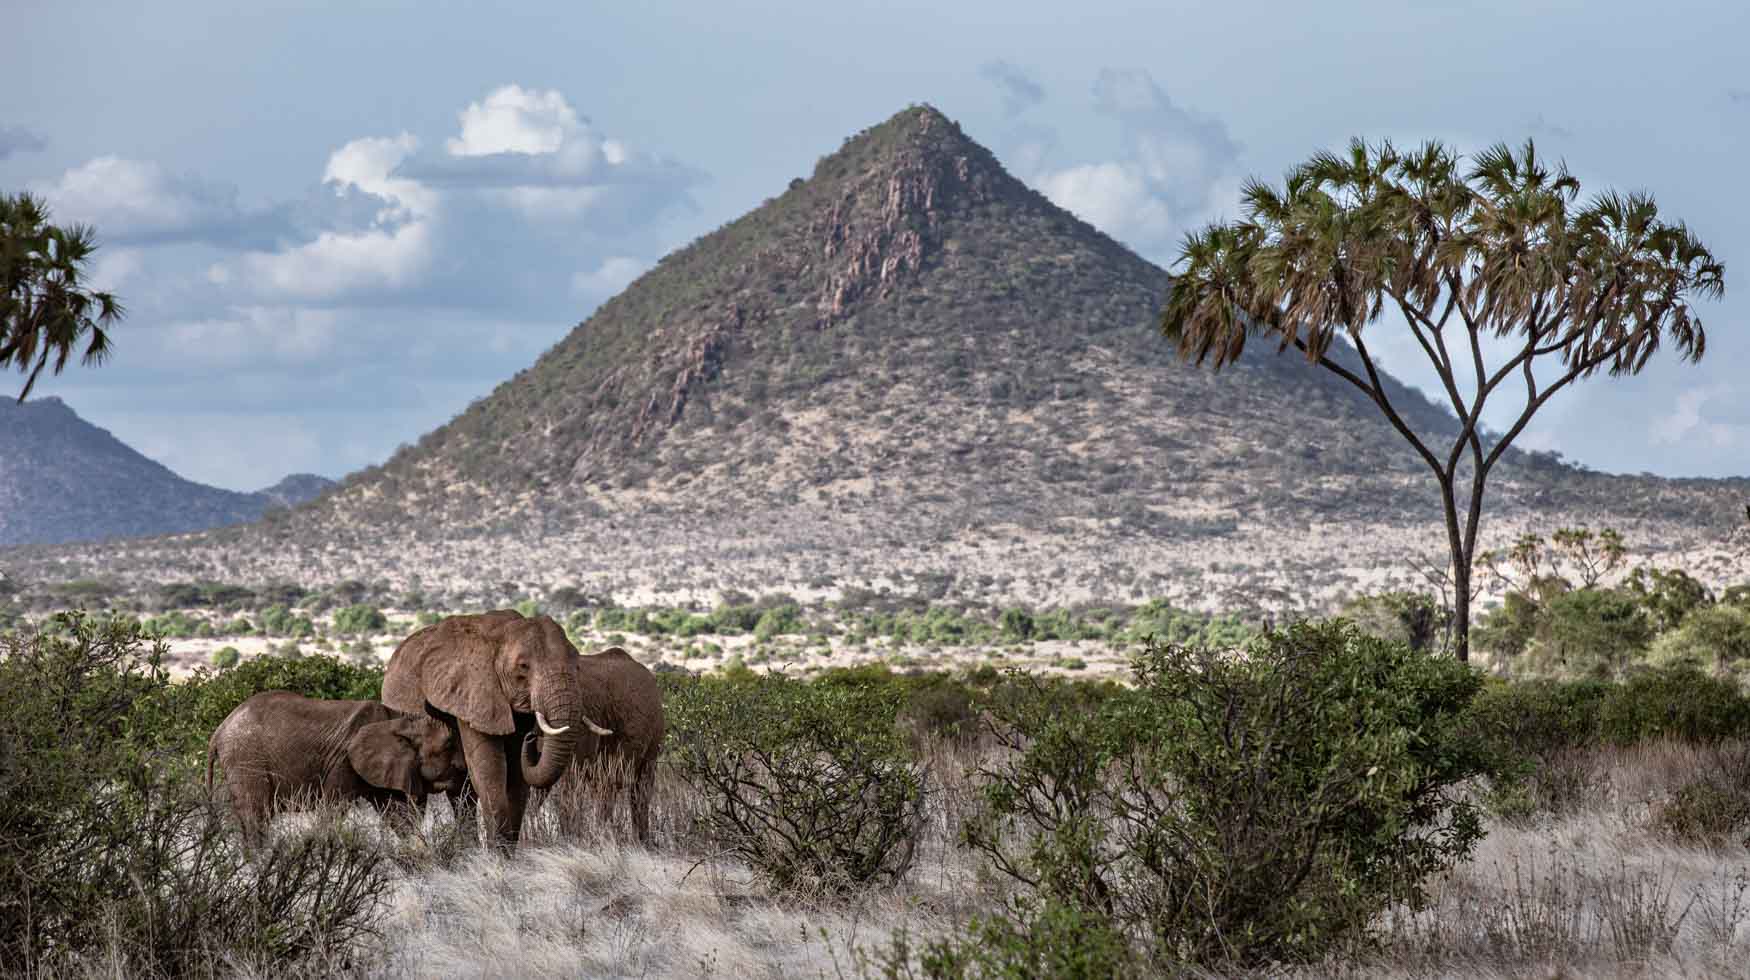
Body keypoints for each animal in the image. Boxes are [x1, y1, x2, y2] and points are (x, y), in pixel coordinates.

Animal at [206, 689, 465, 843]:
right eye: (449, 744)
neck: (401, 719)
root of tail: (219, 730)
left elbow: (398, 814)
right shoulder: (345, 761)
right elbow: (331, 811)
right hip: (245, 758)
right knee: (256, 816)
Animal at [379, 609, 612, 854]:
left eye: (577, 665)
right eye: (523, 666)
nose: (532, 738)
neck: (502, 632)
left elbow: (517, 773)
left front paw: (508, 853)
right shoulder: (472, 693)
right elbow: (490, 768)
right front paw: (498, 855)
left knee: (462, 795)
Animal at [521, 647, 665, 847]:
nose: (529, 737)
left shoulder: (586, 714)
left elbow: (571, 779)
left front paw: (568, 842)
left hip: (653, 738)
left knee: (637, 791)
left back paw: (637, 843)